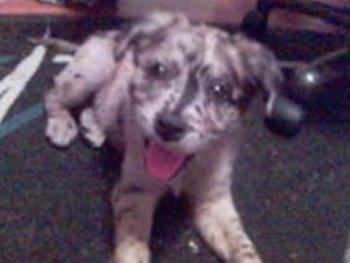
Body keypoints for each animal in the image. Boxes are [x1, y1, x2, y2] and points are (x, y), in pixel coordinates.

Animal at [45, 11, 284, 262]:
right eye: (159, 69)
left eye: (219, 89)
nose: (168, 126)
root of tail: (107, 33)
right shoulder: (134, 191)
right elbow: (134, 245)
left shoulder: (214, 199)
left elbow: (242, 245)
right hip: (90, 72)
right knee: (53, 92)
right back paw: (61, 124)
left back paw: (93, 127)